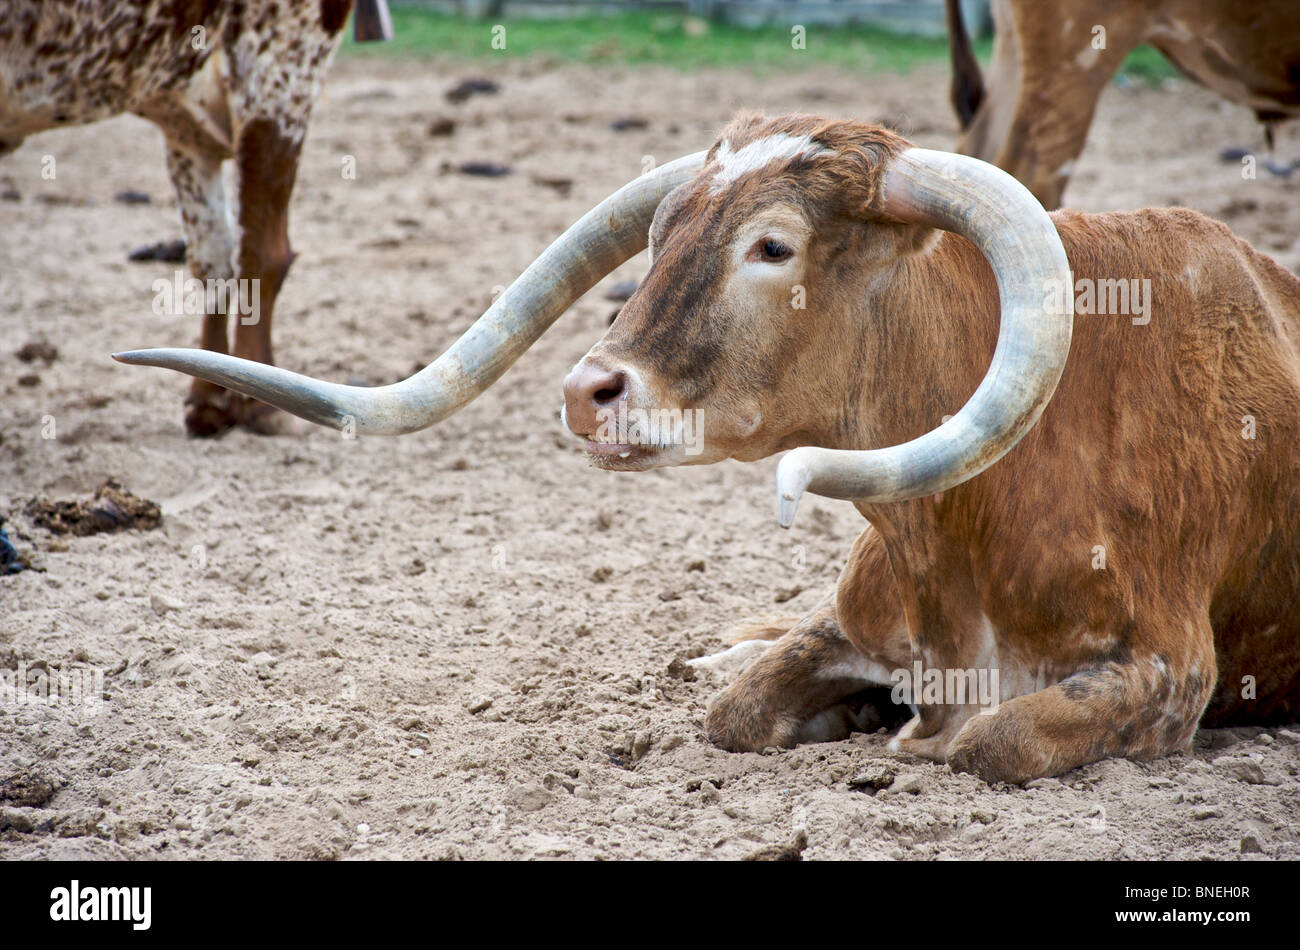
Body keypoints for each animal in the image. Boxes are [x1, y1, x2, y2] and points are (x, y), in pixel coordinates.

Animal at [114, 113, 1300, 779]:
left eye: (771, 246)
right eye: (657, 234)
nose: (587, 392)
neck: (962, 532)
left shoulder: (1167, 670)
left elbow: (990, 740)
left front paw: (911, 730)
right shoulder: (850, 616)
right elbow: (737, 710)